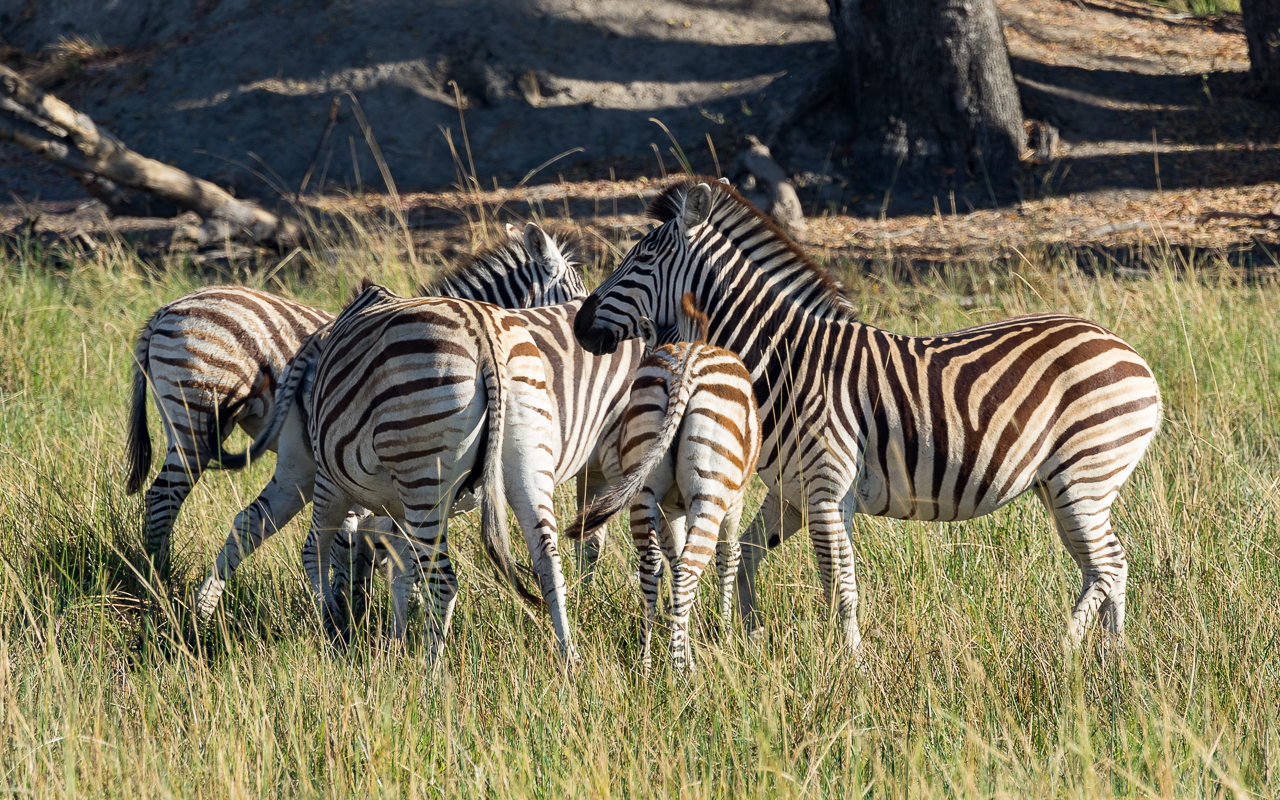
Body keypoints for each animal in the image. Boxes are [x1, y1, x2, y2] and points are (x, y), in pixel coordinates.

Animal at [126, 223, 583, 582]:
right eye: (578, 296)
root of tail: (165, 310)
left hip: (181, 421)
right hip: (195, 420)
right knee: (162, 499)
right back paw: (156, 576)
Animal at [568, 293, 761, 673]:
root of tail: (685, 367)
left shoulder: (671, 507)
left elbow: (671, 560)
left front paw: (685, 632)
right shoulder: (735, 501)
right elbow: (727, 557)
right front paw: (724, 634)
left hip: (643, 489)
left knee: (651, 565)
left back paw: (646, 665)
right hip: (710, 495)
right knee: (688, 568)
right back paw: (680, 671)